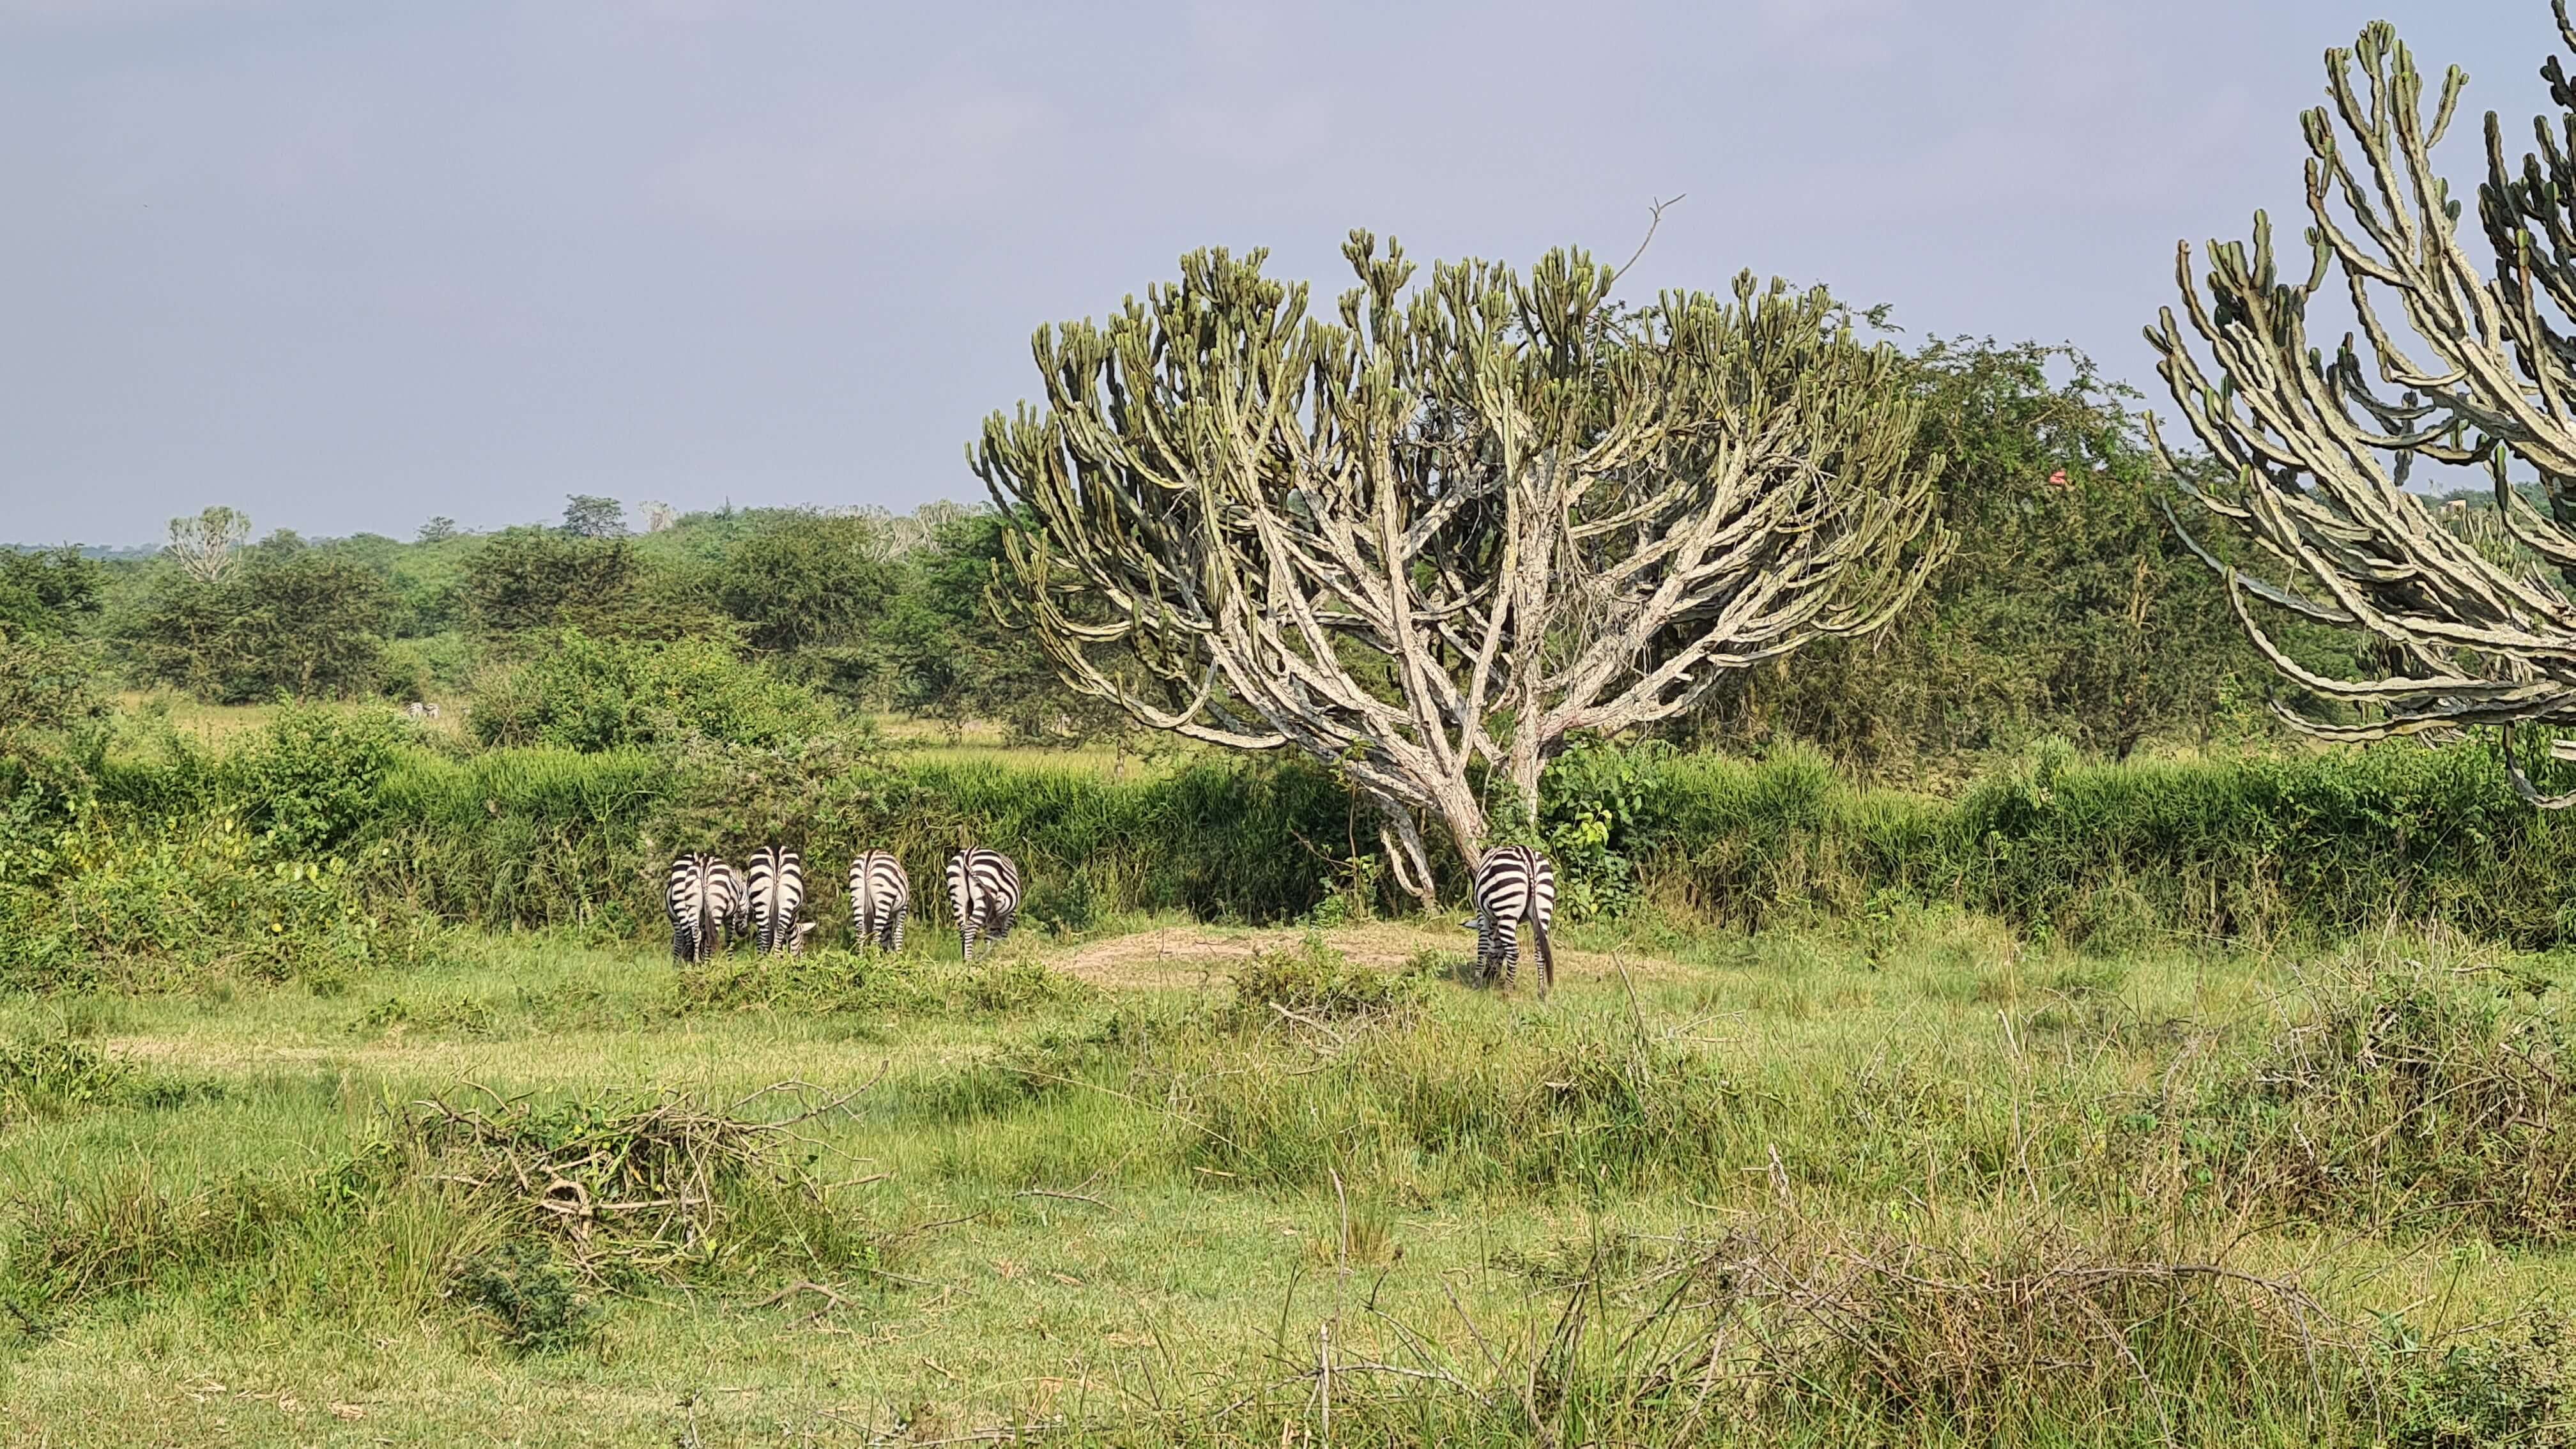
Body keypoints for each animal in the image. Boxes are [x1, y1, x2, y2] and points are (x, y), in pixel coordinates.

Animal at [666, 852, 745, 964]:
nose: (743, 933)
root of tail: (702, 863)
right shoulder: (731, 917)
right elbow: (729, 939)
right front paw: (729, 963)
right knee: (708, 935)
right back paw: (705, 962)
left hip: (691, 907)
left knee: (695, 934)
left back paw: (695, 961)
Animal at [746, 846, 806, 955]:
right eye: (803, 944)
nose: (799, 959)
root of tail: (776, 851)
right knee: (775, 939)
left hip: (762, 903)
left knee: (766, 938)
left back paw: (764, 959)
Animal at [848, 850, 911, 953]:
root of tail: (870, 854)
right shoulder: (903, 908)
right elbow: (898, 934)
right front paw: (899, 955)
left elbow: (886, 936)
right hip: (884, 900)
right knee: (876, 934)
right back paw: (874, 957)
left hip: (857, 899)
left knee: (861, 932)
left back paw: (861, 957)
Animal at [946, 848, 1021, 961]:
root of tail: (968, 854)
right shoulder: (1011, 913)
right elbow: (999, 935)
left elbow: (989, 937)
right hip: (983, 895)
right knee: (970, 928)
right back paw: (969, 961)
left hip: (958, 899)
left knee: (963, 930)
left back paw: (964, 959)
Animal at [1471, 846, 1558, 997]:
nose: (1489, 976)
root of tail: (1528, 857)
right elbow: (1501, 948)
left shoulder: (1481, 913)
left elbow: (1483, 946)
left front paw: (1477, 982)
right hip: (1543, 910)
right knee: (1540, 951)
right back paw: (1541, 990)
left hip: (1507, 909)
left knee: (1513, 951)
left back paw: (1507, 992)